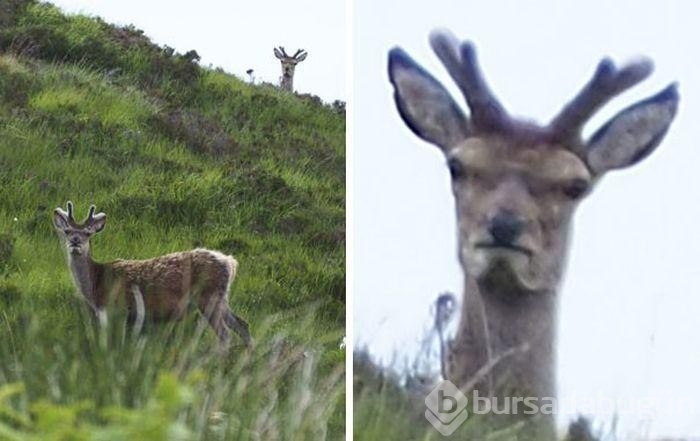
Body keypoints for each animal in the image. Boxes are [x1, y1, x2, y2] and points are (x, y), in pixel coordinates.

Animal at [52, 200, 254, 348]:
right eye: (67, 231)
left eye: (88, 233)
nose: (75, 241)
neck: (96, 283)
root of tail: (230, 262)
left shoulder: (116, 309)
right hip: (221, 297)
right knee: (243, 325)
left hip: (208, 296)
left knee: (225, 335)